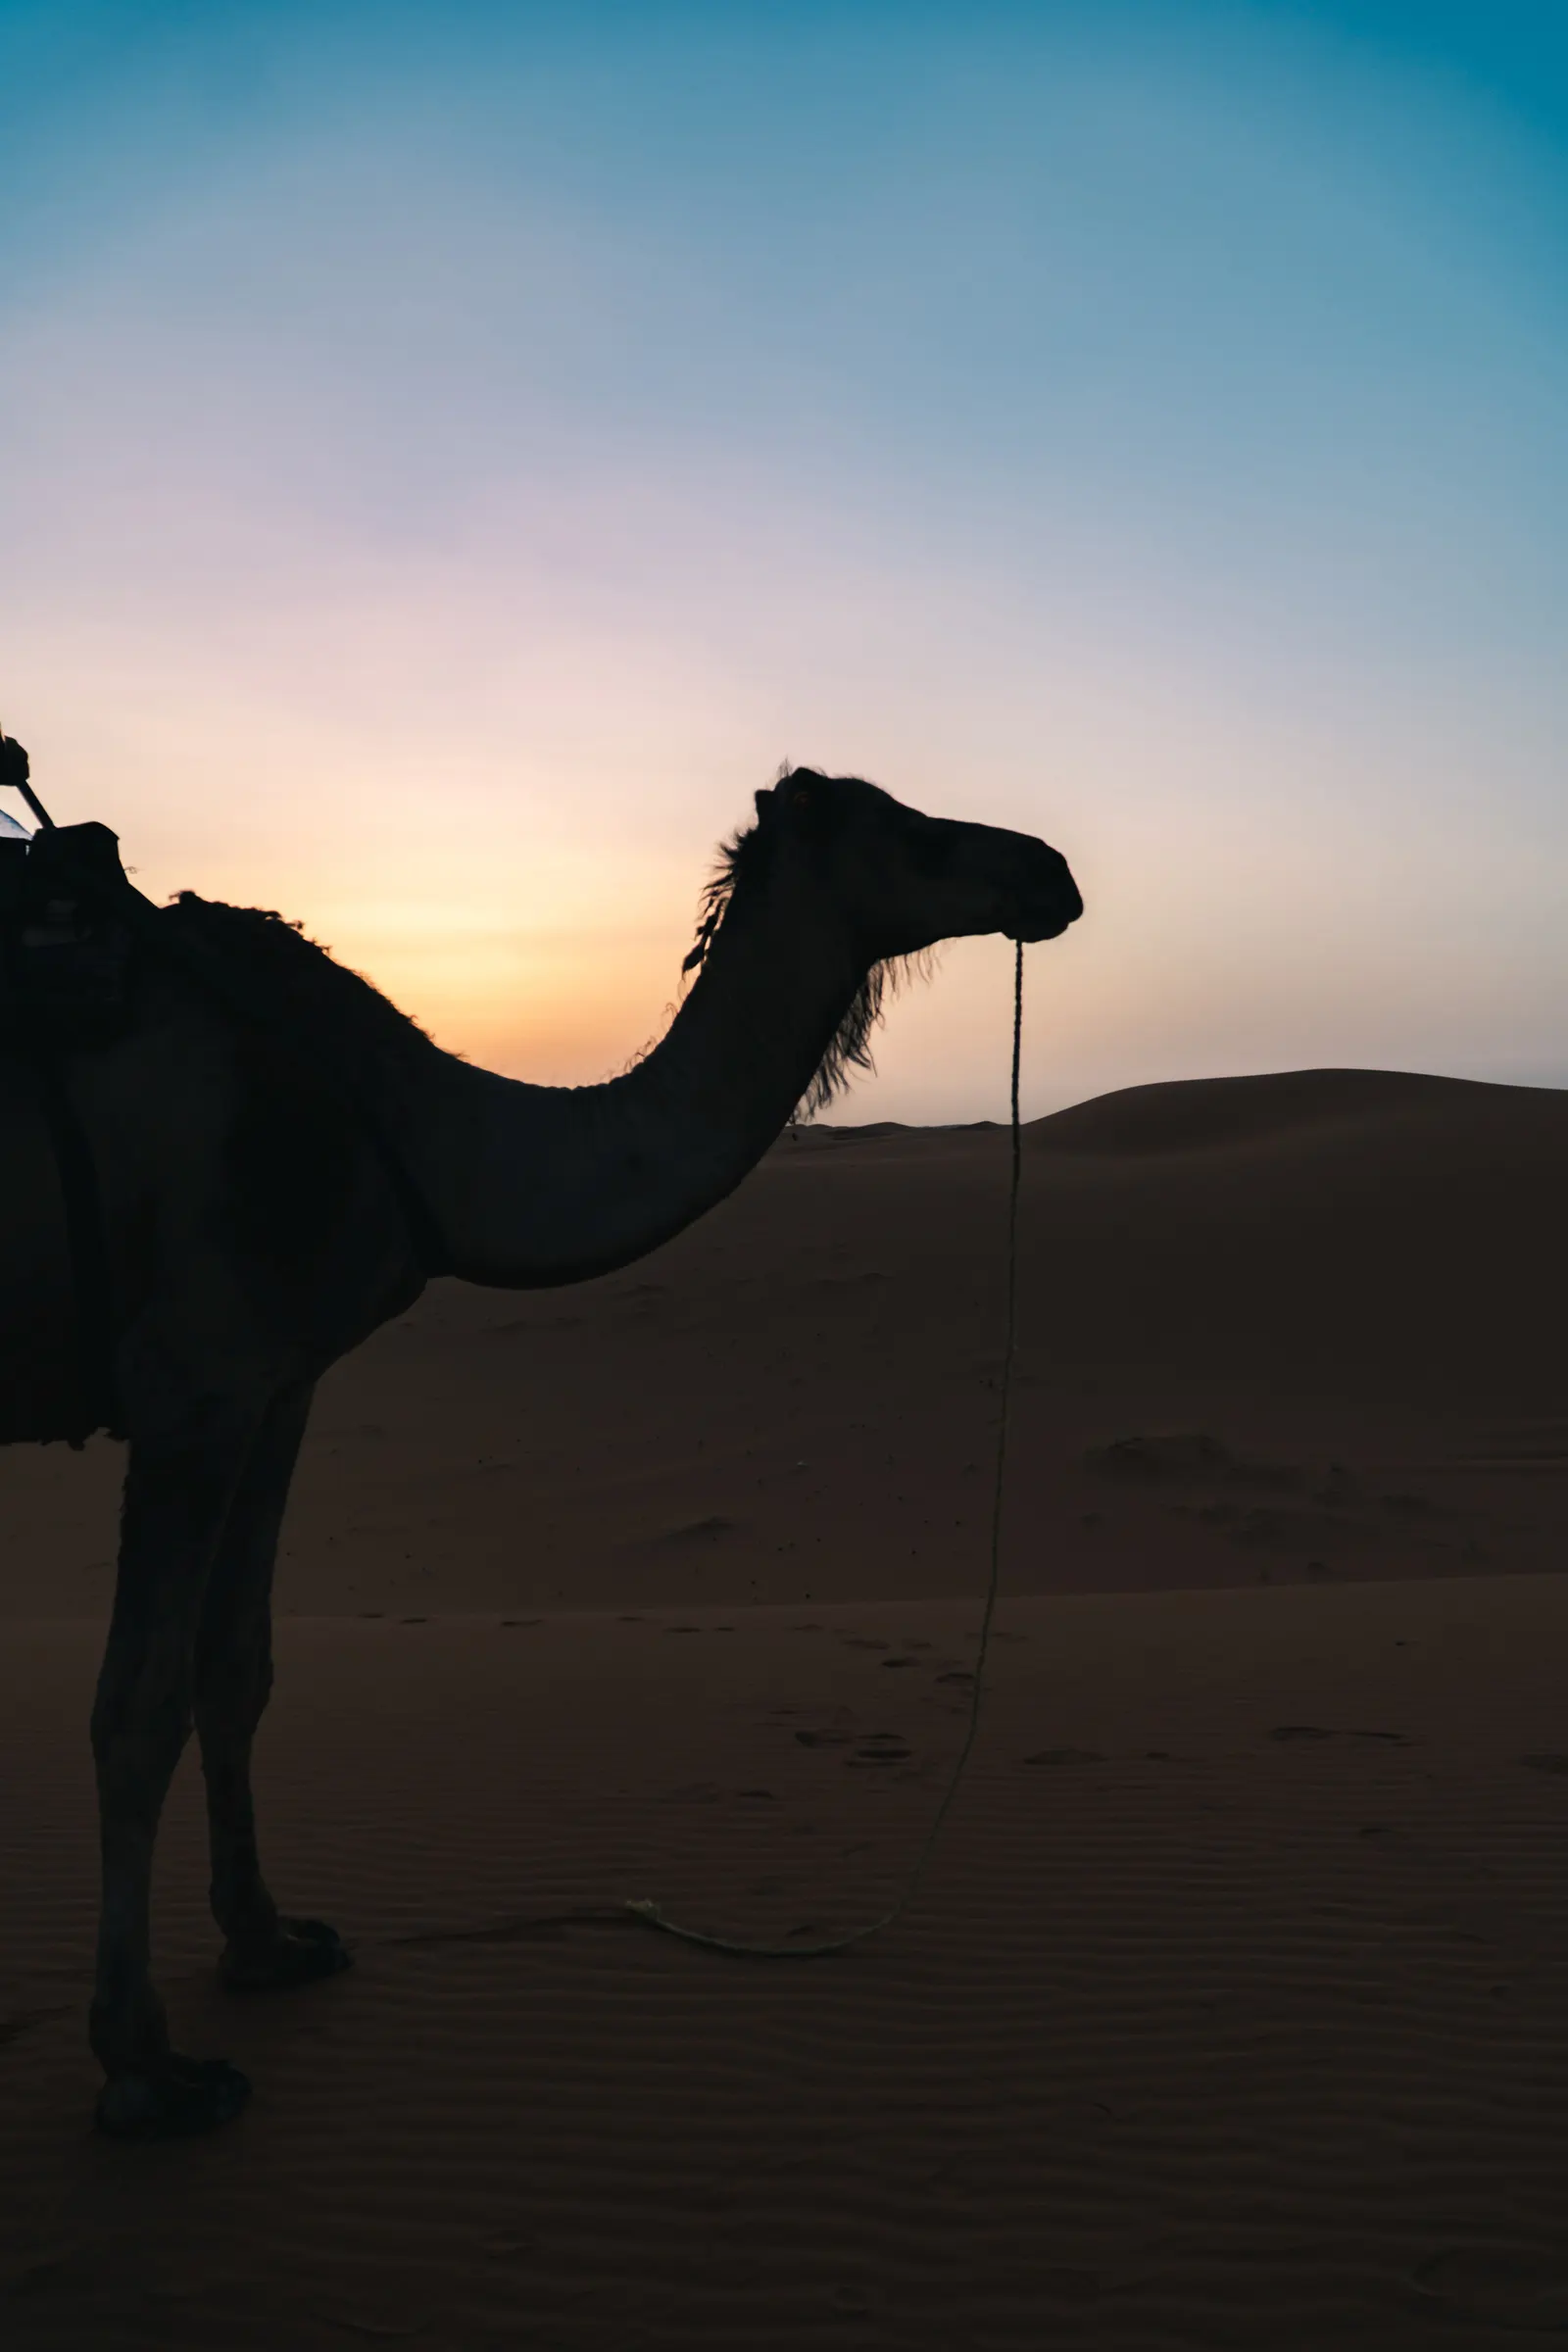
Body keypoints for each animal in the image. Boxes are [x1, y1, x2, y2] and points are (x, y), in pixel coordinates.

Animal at [1, 761, 1081, 2136]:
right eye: (910, 830)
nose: (1052, 872)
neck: (401, 1125)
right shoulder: (194, 1379)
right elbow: (135, 1711)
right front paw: (145, 2066)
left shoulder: (277, 1382)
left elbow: (233, 1670)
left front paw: (268, 1943)